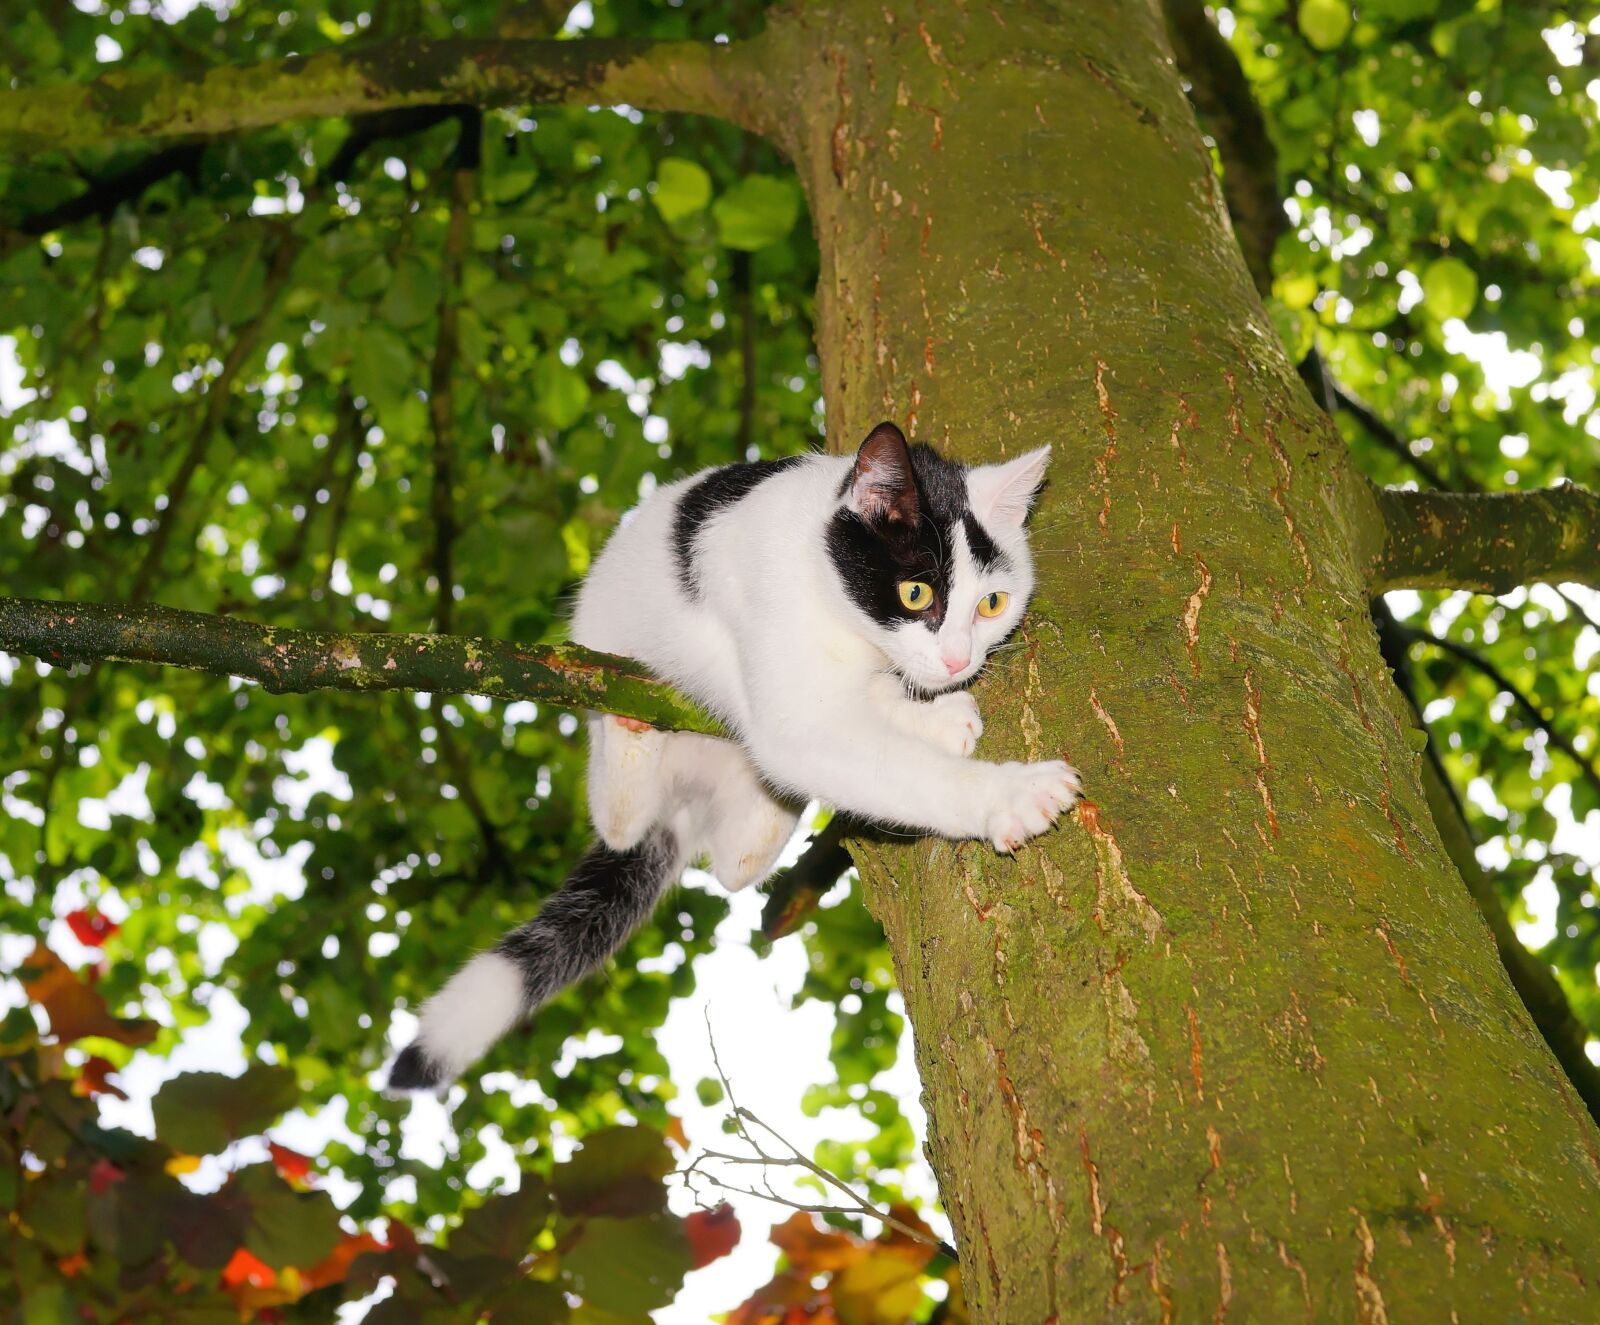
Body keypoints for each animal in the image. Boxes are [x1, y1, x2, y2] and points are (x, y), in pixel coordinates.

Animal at [388, 422, 1081, 1088]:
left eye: (991, 604)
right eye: (915, 593)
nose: (960, 660)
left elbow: (868, 706)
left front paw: (934, 715)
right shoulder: (782, 651)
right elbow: (851, 747)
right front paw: (1011, 795)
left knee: (733, 864)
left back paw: (764, 820)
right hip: (608, 671)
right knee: (620, 824)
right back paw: (631, 737)